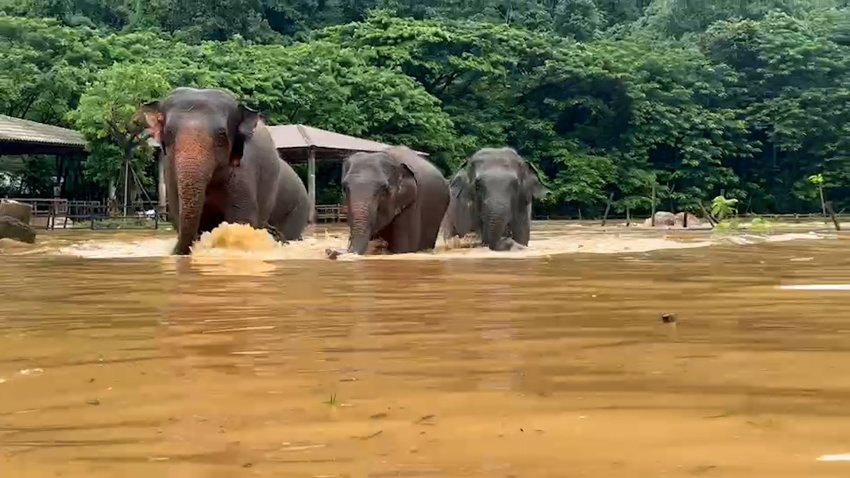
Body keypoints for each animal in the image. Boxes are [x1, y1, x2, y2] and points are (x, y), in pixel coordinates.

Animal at [141, 88, 310, 256]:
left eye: (221, 134)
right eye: (169, 132)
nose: (174, 251)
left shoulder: (244, 169)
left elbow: (241, 219)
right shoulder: (170, 169)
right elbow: (180, 214)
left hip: (298, 208)